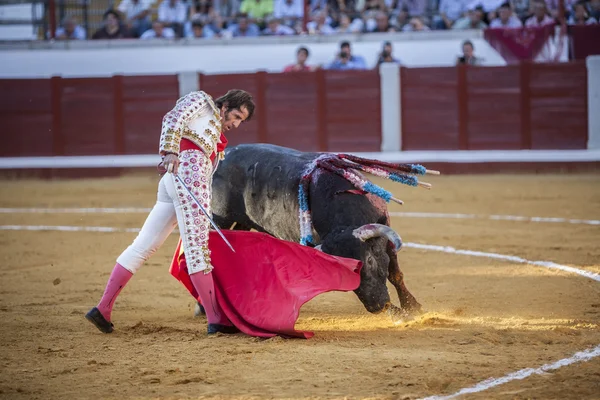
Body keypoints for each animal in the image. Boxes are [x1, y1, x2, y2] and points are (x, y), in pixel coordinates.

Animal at [206, 142, 422, 320]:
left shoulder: (386, 235)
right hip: (219, 219)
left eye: (369, 260)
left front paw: (413, 307)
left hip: (241, 221)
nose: (377, 307)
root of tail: (224, 157)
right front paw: (399, 313)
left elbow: (395, 273)